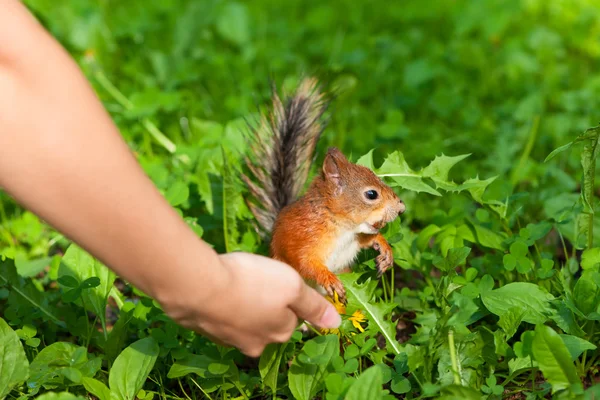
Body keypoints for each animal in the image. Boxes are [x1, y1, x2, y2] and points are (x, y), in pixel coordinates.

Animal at [241, 77, 406, 304]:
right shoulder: (305, 239)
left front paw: (384, 248)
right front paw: (330, 279)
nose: (401, 208)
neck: (341, 226)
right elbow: (306, 263)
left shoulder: (356, 237)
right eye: (372, 194)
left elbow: (368, 239)